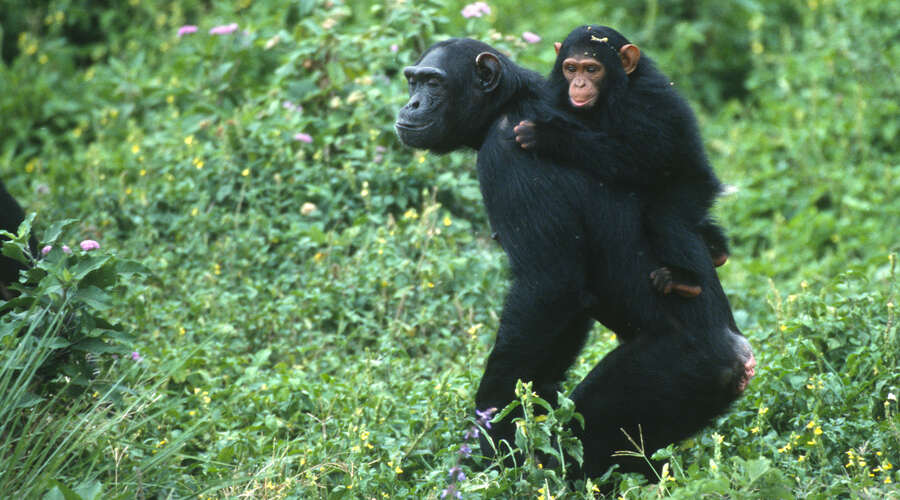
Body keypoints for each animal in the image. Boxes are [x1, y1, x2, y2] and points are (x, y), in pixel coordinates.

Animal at [512, 25, 732, 298]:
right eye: (571, 68)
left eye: (592, 69)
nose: (579, 83)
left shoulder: (644, 101)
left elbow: (641, 159)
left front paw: (547, 135)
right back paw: (716, 248)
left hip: (696, 188)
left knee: (666, 217)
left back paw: (686, 279)